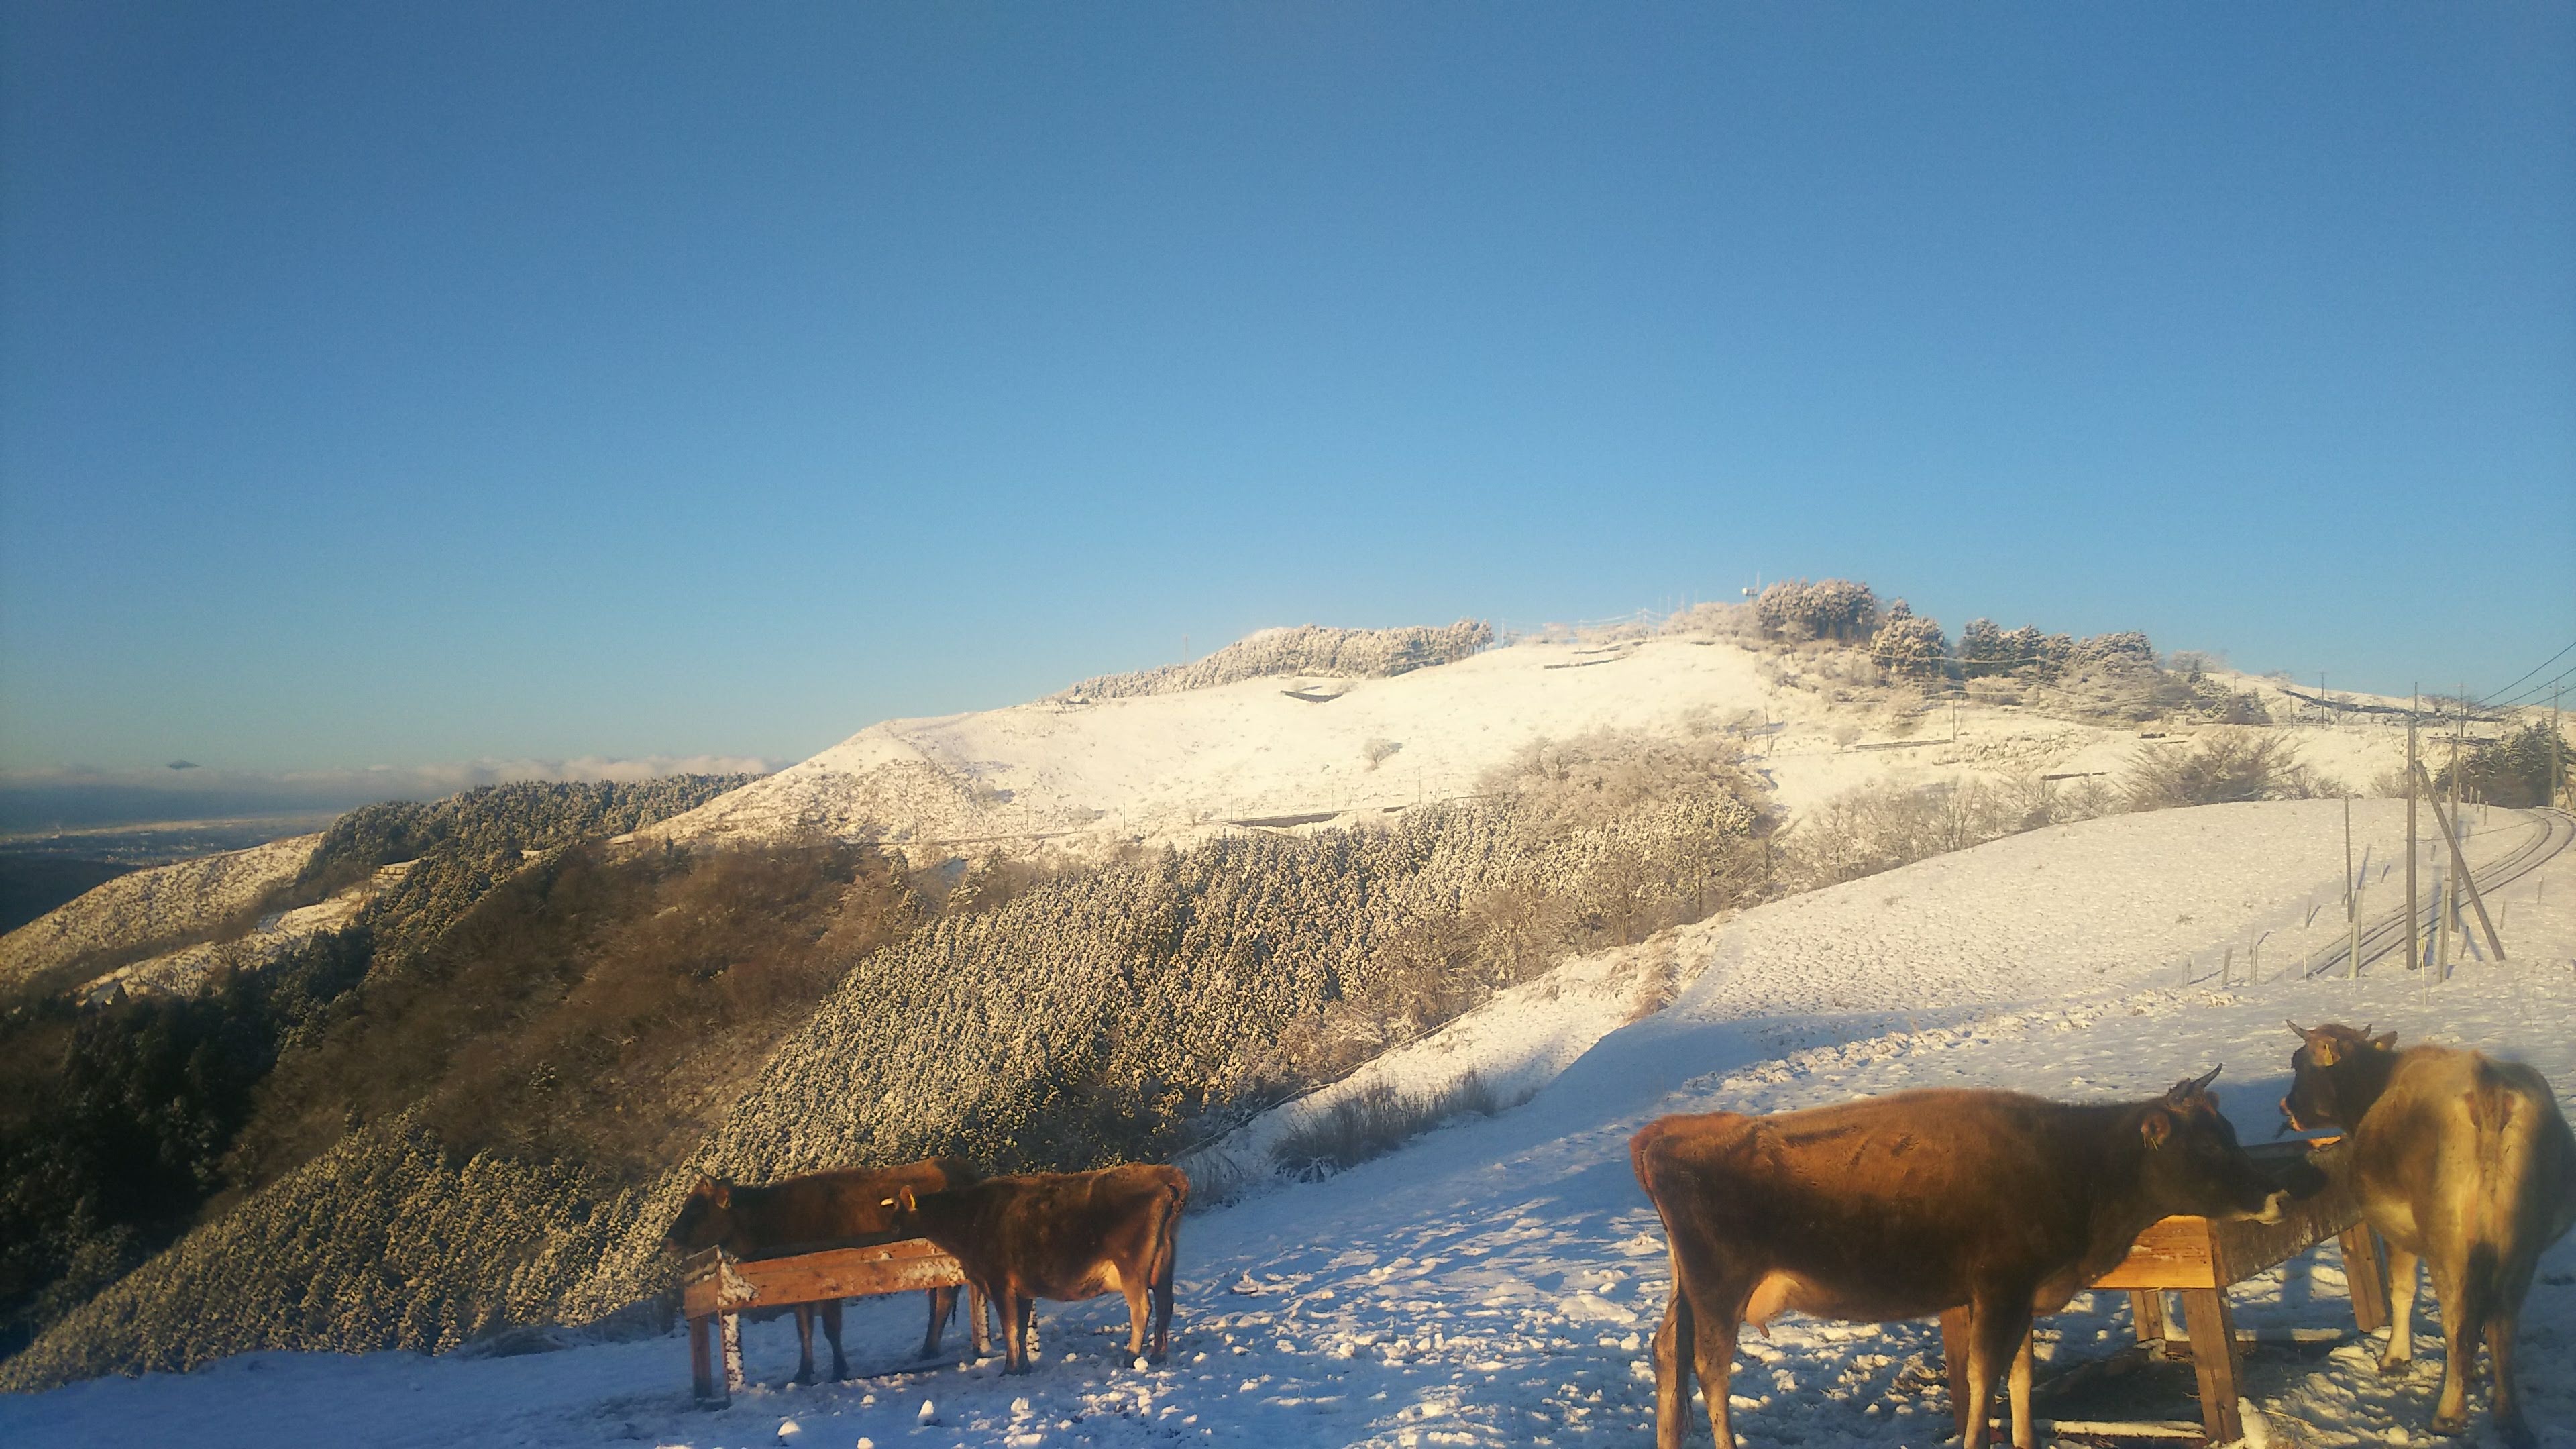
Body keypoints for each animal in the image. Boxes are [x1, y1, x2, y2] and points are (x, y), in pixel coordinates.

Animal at [664, 1155, 973, 1382]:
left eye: (698, 1208)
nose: (669, 1242)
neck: (772, 1216)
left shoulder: (829, 1284)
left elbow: (830, 1329)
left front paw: (839, 1369)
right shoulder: (799, 1290)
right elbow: (804, 1329)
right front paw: (803, 1373)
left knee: (943, 1301)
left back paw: (928, 1350)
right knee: (938, 1300)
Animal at [885, 1155, 1185, 1371]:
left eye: (897, 1214)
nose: (885, 1235)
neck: (970, 1219)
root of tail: (1158, 1174)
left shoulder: (999, 1283)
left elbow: (1010, 1327)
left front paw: (1009, 1368)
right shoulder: (1022, 1289)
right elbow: (1019, 1328)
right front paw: (1024, 1366)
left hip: (1131, 1267)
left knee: (1142, 1308)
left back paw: (1131, 1356)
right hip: (1163, 1264)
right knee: (1165, 1304)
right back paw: (1157, 1355)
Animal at [2287, 1020, 2565, 1433]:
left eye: (2299, 1063)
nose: (2287, 1107)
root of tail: (2488, 1088)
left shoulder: (2395, 1230)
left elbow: (2402, 1291)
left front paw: (2395, 1358)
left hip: (2447, 1244)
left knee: (2457, 1317)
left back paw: (2449, 1414)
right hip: (2520, 1246)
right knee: (2503, 1322)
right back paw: (2507, 1415)